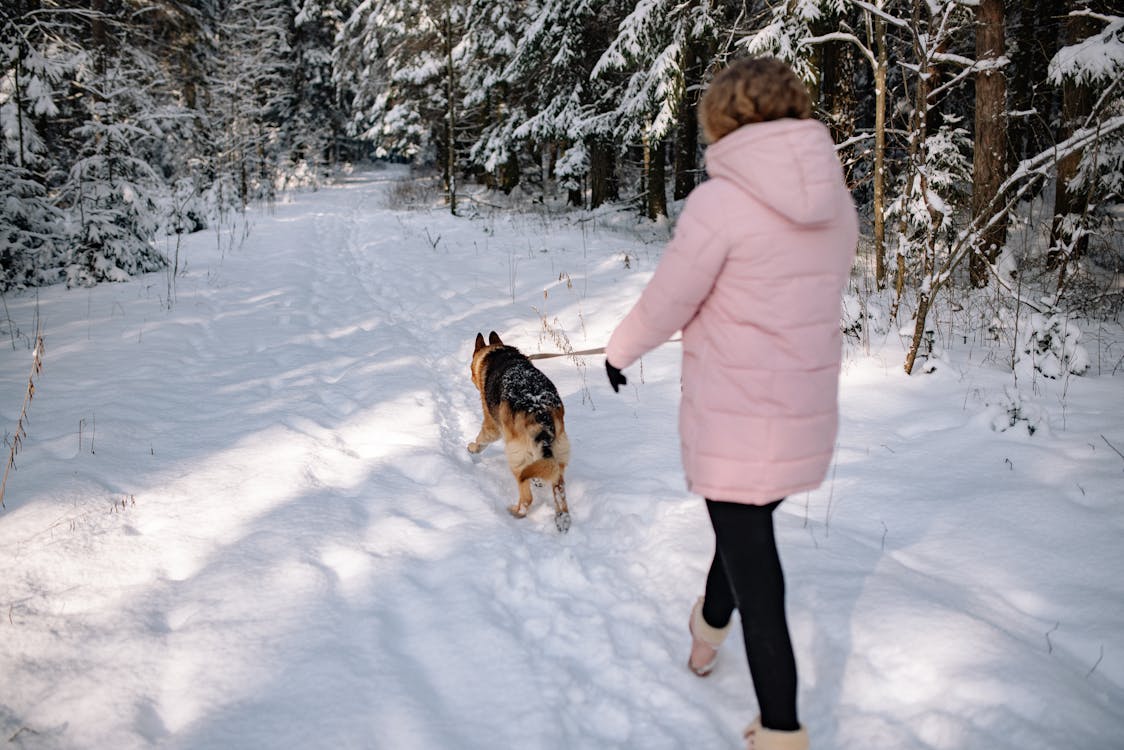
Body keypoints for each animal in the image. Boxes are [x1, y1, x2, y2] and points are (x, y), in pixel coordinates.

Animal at [469, 330, 570, 530]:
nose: (471, 378)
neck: (497, 352)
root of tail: (539, 409)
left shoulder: (492, 426)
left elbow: (481, 439)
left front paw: (472, 449)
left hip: (515, 457)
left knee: (527, 497)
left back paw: (516, 512)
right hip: (557, 454)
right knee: (558, 488)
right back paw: (562, 518)